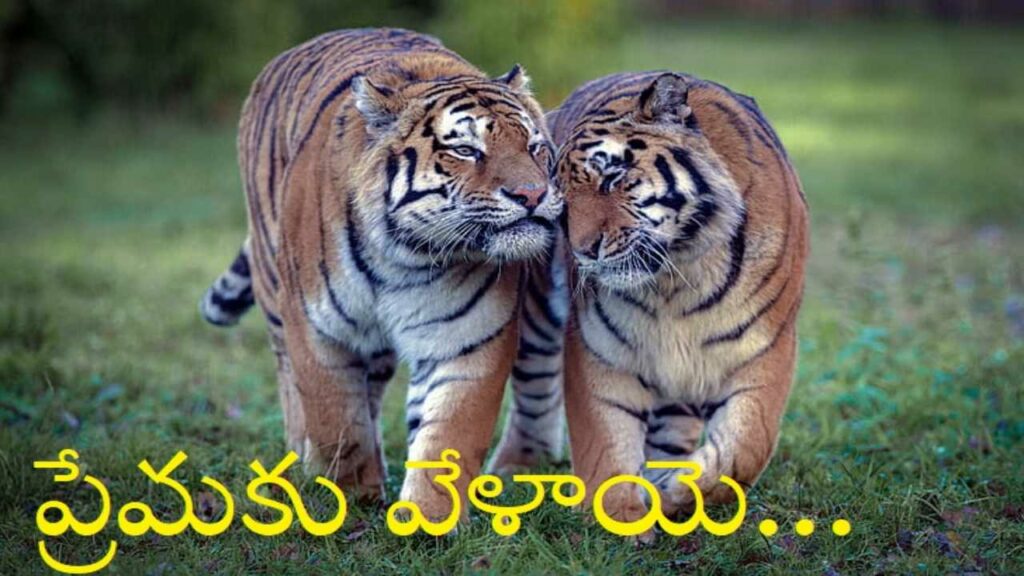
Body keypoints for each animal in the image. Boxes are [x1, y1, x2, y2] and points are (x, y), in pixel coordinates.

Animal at [198, 28, 566, 518]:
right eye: (465, 150)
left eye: (534, 146)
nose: (532, 194)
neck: (406, 257)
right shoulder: (317, 329)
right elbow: (336, 420)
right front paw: (351, 497)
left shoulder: (467, 337)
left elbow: (446, 436)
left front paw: (426, 520)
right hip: (273, 289)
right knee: (292, 385)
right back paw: (301, 457)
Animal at [548, 71, 808, 533]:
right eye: (561, 205)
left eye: (611, 178)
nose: (584, 251)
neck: (676, 277)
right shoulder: (599, 350)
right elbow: (604, 441)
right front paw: (620, 521)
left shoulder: (767, 348)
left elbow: (745, 449)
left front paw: (676, 492)